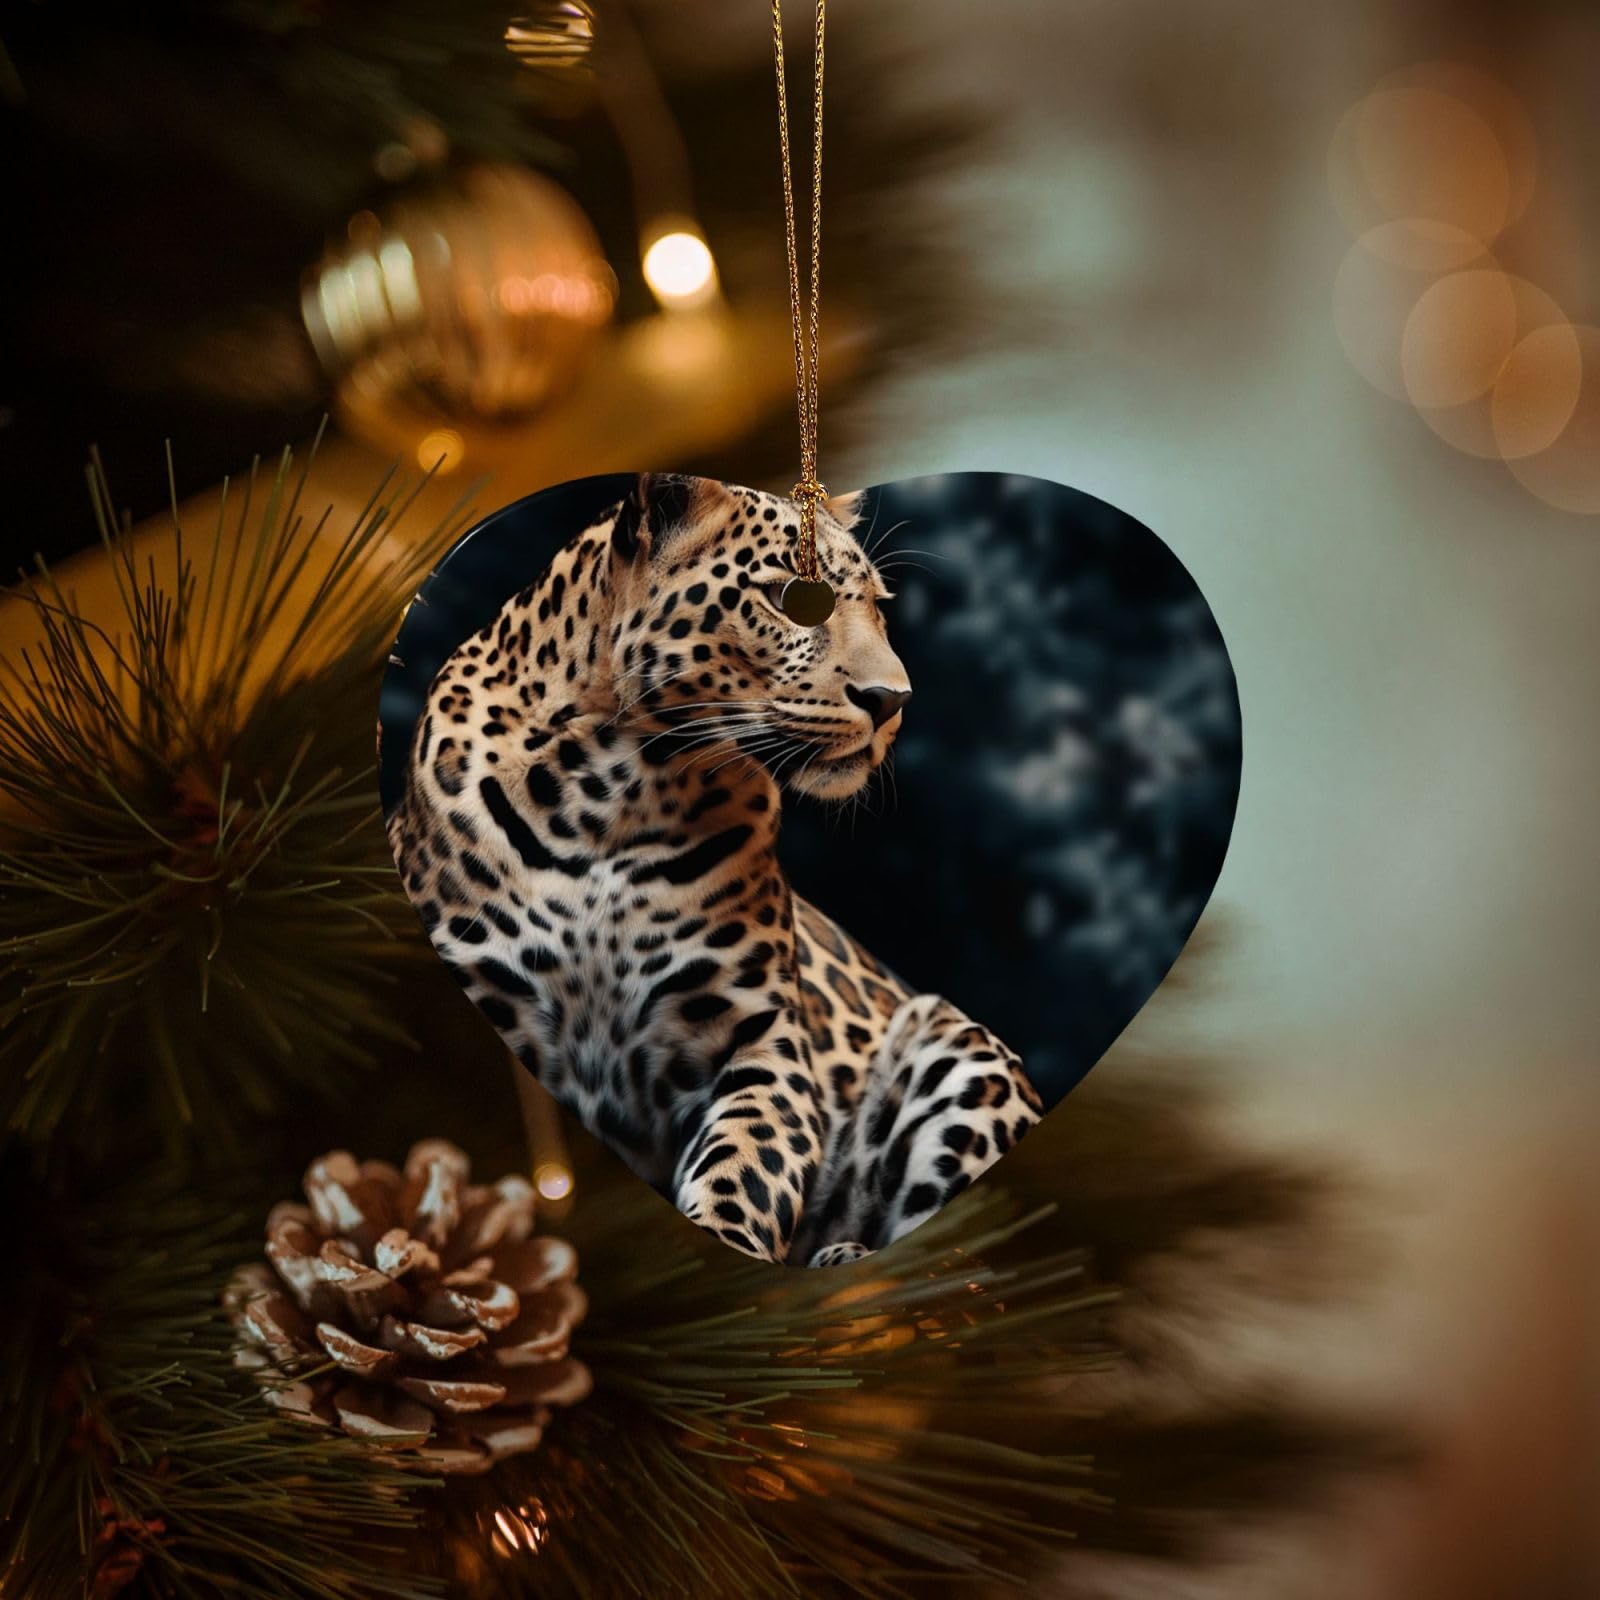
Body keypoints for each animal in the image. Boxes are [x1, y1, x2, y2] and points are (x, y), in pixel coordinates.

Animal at [387, 473, 1042, 1267]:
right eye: (795, 601)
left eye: (878, 607)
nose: (893, 702)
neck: (608, 794)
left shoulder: (763, 1039)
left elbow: (746, 1165)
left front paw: (726, 1242)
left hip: (958, 1042)